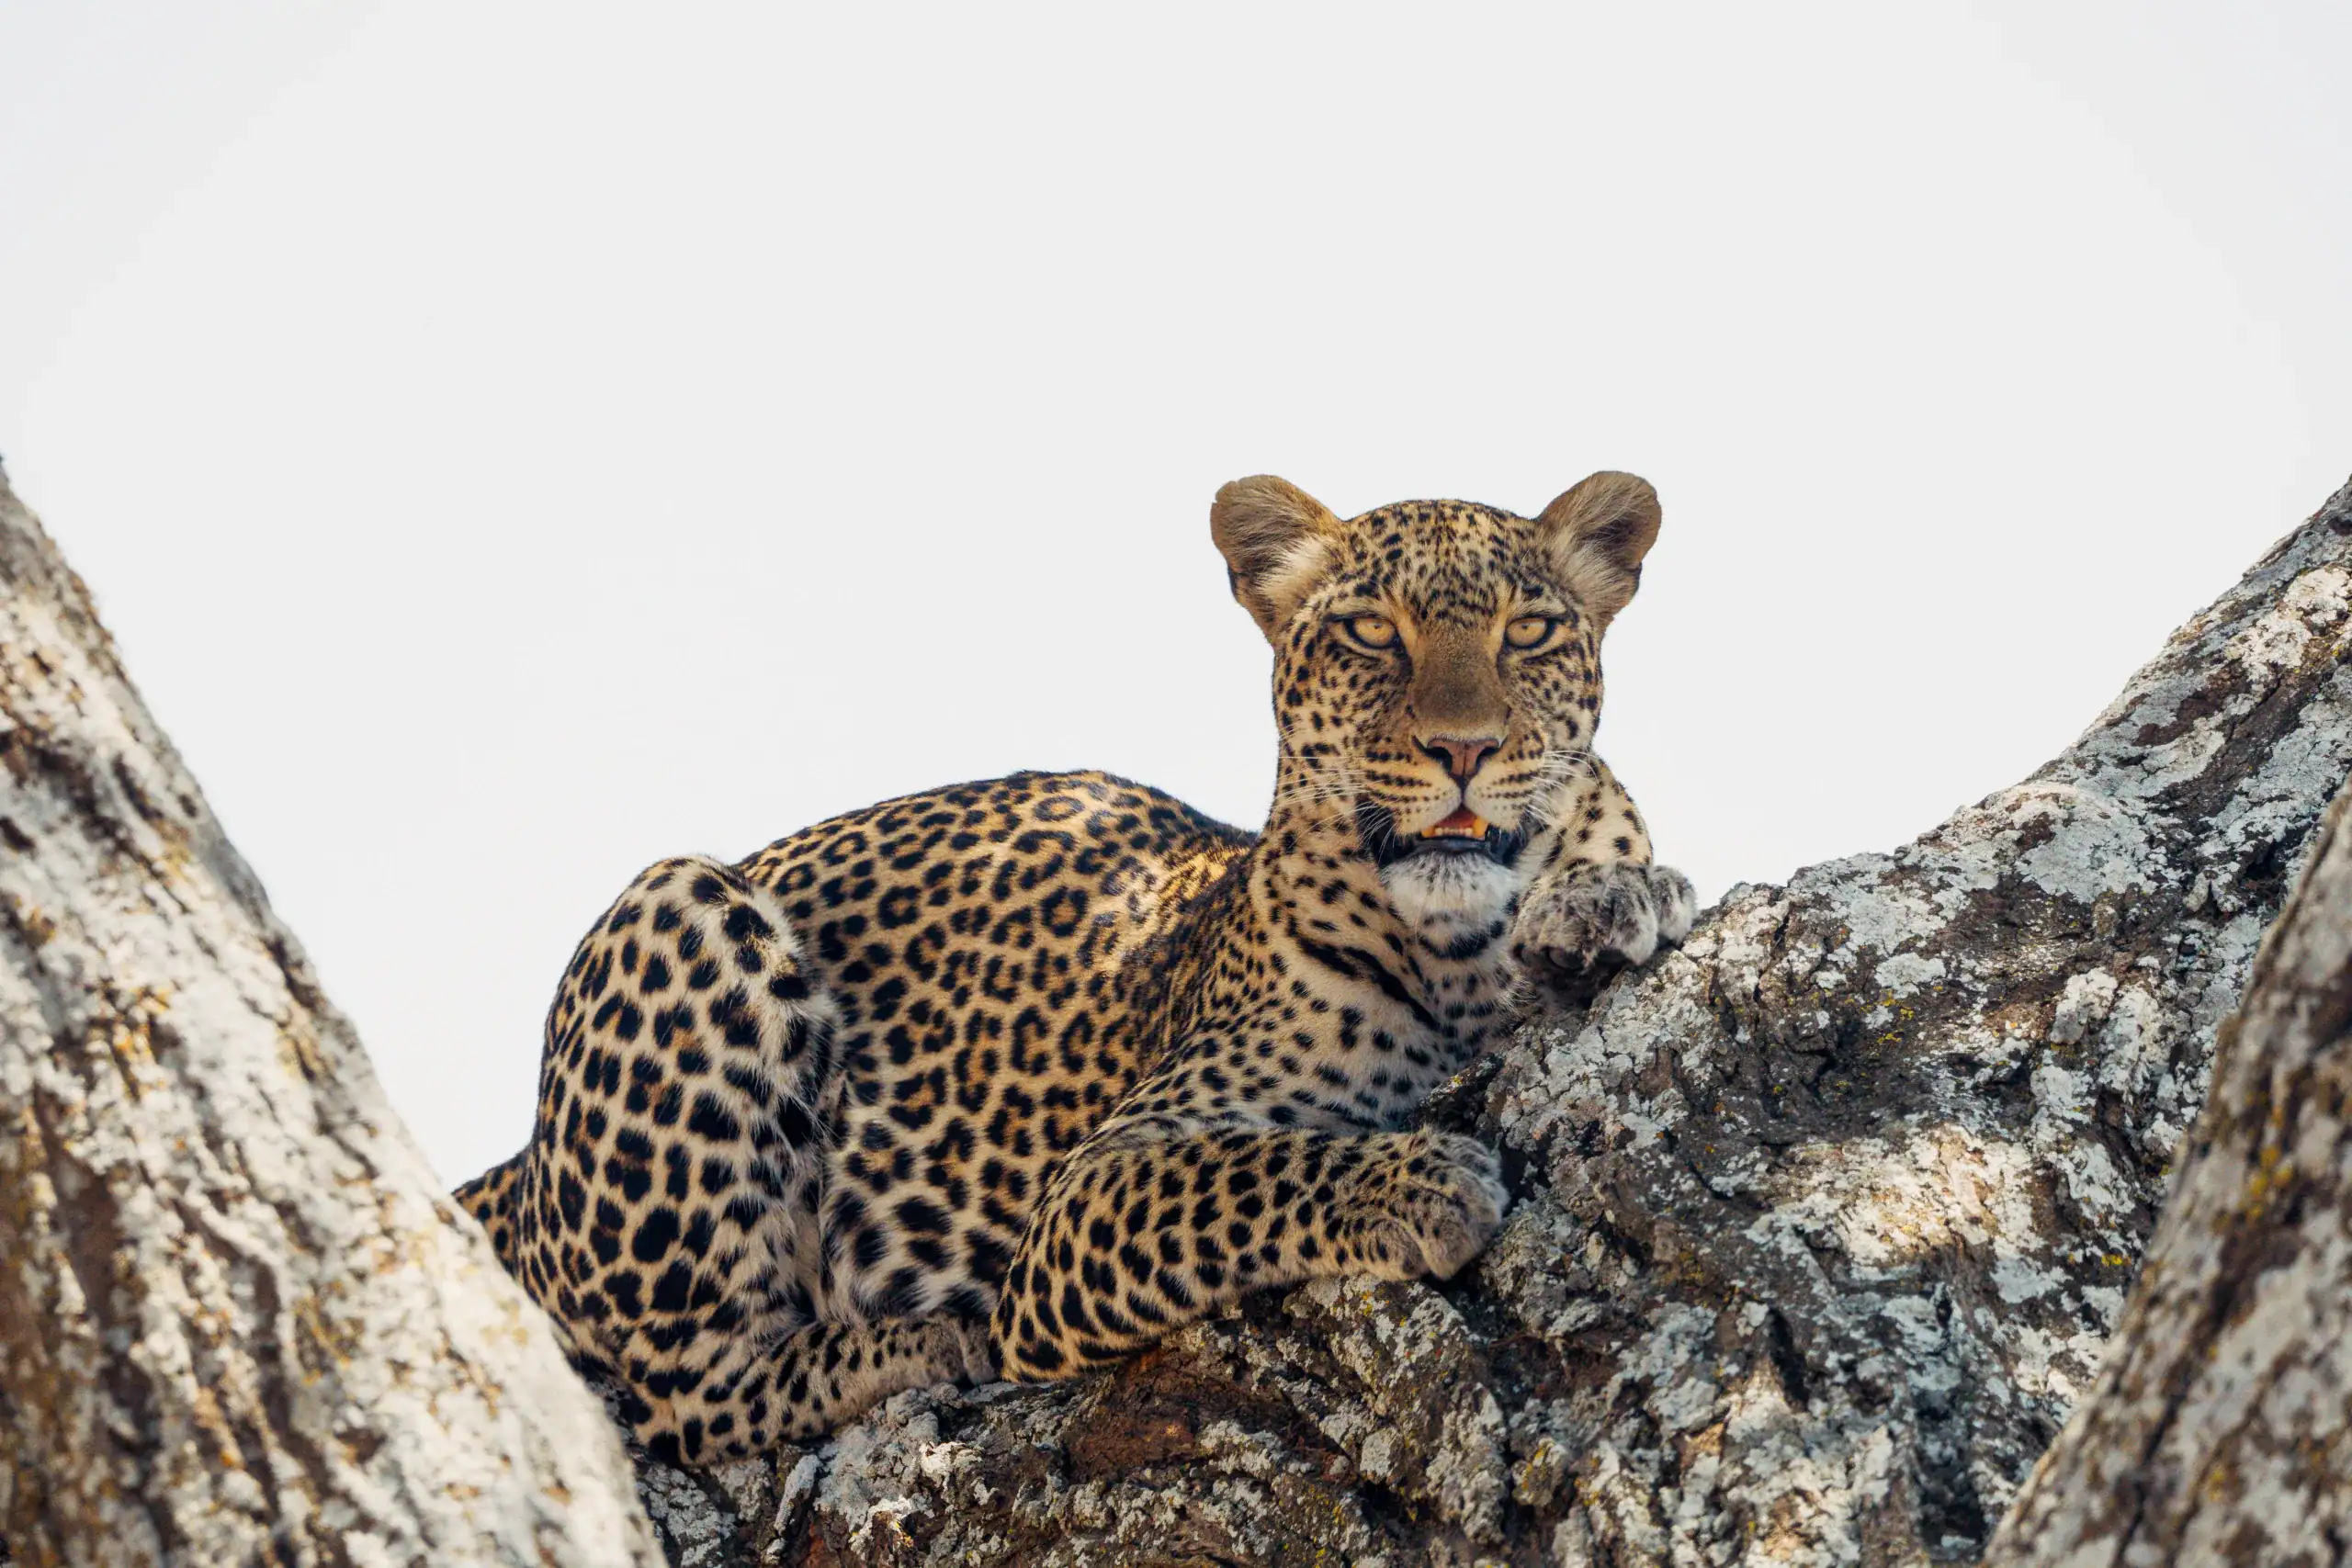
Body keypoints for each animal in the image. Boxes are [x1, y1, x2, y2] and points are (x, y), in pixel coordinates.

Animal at [454, 470, 1696, 1466]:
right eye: (1370, 634)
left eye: (1527, 634)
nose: (1463, 750)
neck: (1458, 954)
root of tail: (519, 1164)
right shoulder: (1087, 1195)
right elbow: (1248, 1169)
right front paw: (1415, 1179)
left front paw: (1614, 897)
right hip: (678, 906)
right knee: (692, 1400)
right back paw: (918, 1342)